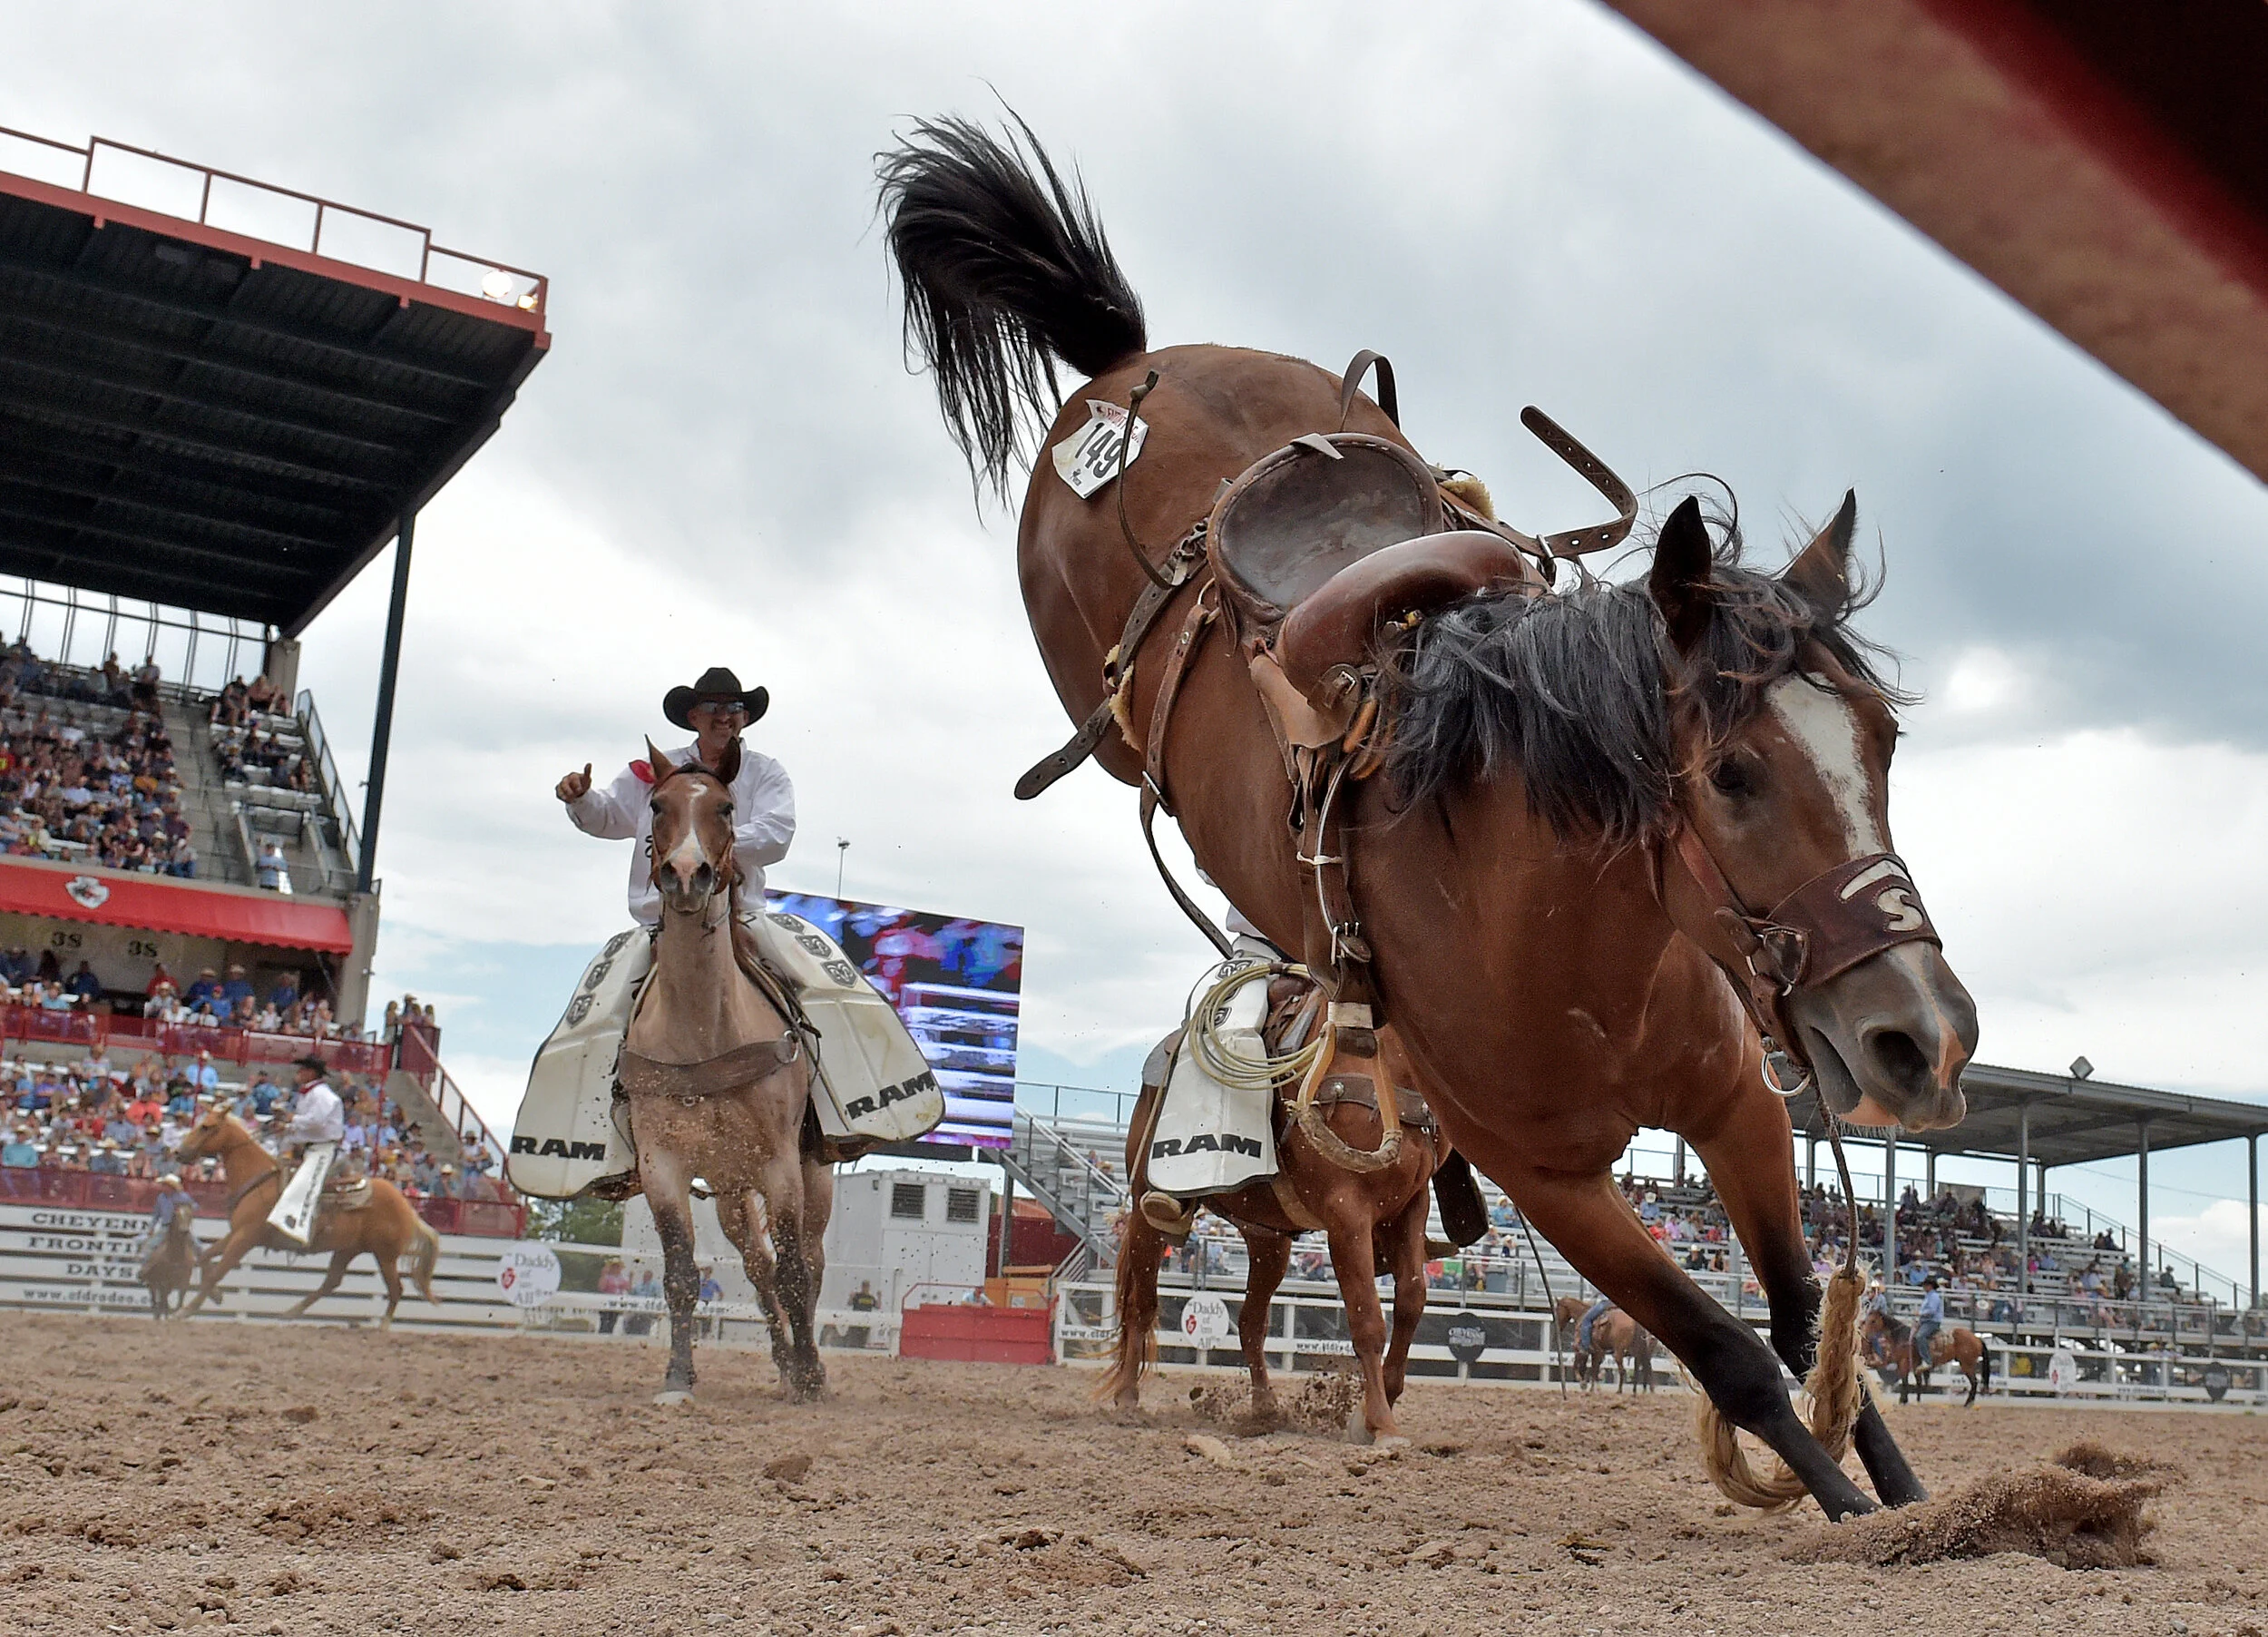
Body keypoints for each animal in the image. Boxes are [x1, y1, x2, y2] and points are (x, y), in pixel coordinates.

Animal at [172, 1109, 441, 1323]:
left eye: (206, 1126)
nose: (177, 1152)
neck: (260, 1180)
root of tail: (407, 1207)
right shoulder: (237, 1232)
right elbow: (205, 1257)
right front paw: (215, 1296)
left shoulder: (246, 1237)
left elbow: (219, 1270)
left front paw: (186, 1310)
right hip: (348, 1249)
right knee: (332, 1282)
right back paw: (290, 1313)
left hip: (385, 1255)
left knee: (396, 1289)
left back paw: (382, 1328)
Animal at [624, 737, 833, 1405]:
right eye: (656, 805)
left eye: (725, 805)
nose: (687, 874)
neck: (703, 1032)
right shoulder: (663, 1166)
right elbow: (681, 1274)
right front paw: (678, 1377)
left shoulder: (781, 1166)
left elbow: (795, 1272)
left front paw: (812, 1376)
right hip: (731, 1193)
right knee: (756, 1263)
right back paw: (783, 1360)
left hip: (811, 1178)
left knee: (809, 1262)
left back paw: (808, 1366)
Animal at [1100, 1022, 1444, 1443]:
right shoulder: (1348, 1214)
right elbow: (1368, 1321)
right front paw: (1380, 1421)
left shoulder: (1409, 1208)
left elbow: (1411, 1301)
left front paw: (1375, 1408)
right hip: (1144, 1210)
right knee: (1141, 1305)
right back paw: (1127, 1397)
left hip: (1269, 1241)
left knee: (1251, 1322)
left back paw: (1265, 1406)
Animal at [1862, 1309, 1992, 1405]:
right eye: (1866, 1320)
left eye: (1873, 1321)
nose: (1865, 1335)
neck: (1902, 1337)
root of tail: (1977, 1339)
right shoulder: (1912, 1364)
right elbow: (1918, 1381)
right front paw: (1917, 1400)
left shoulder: (1904, 1362)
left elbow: (1905, 1381)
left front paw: (1903, 1400)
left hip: (1966, 1365)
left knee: (1974, 1382)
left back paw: (1968, 1403)